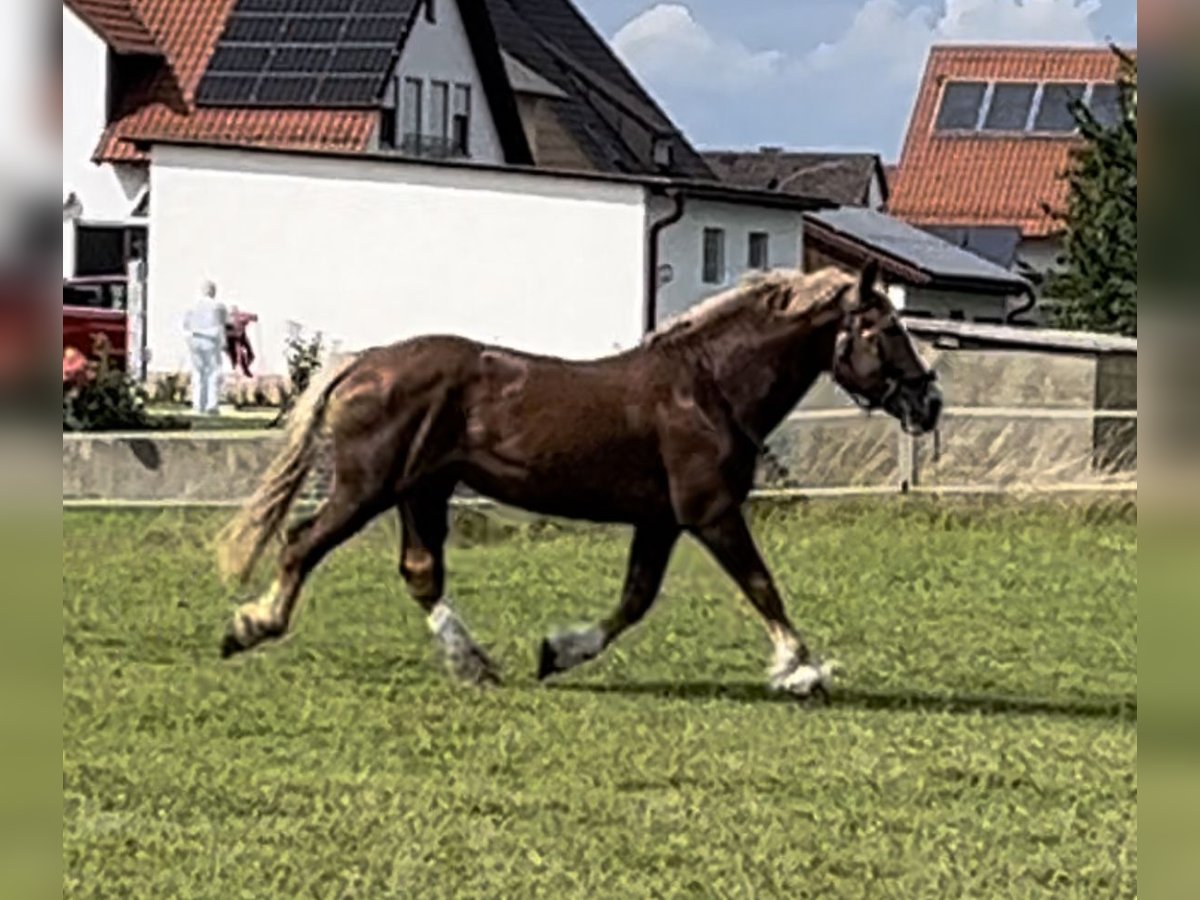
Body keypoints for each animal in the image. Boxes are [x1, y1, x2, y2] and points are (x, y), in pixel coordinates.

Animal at [220, 264, 940, 700]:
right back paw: (250, 626)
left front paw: (558, 652)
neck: (709, 386)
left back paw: (473, 663)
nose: (929, 402)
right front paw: (801, 670)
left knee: (420, 572)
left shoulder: (661, 520)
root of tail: (365, 363)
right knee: (301, 544)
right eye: (883, 329)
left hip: (421, 491)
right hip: (367, 487)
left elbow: (635, 600)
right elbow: (762, 586)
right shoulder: (709, 512)